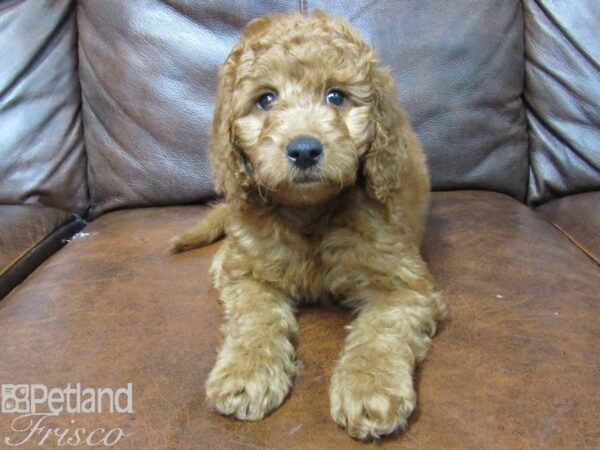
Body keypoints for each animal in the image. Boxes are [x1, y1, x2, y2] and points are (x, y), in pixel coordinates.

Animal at [172, 9, 446, 440]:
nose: (303, 150)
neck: (310, 213)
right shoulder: (249, 275)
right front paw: (246, 372)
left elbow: (381, 330)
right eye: (265, 99)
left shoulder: (405, 283)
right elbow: (255, 318)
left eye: (336, 96)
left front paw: (370, 388)